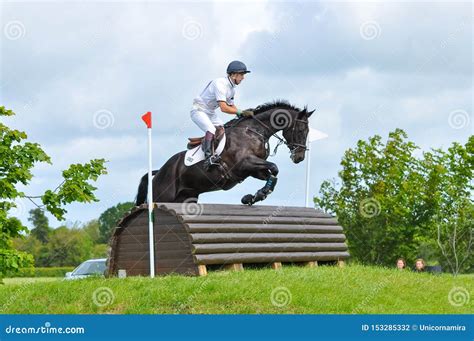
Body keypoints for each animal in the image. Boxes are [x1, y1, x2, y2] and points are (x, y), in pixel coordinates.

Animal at [135, 99, 312, 206]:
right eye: (301, 130)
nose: (300, 157)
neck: (254, 131)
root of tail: (159, 171)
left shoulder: (253, 170)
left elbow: (271, 174)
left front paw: (253, 197)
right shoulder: (244, 163)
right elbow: (274, 167)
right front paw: (256, 195)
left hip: (185, 198)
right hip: (163, 196)